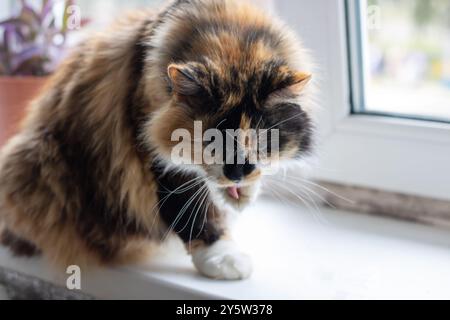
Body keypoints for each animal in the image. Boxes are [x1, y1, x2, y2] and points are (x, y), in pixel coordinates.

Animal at [0, 0, 314, 280]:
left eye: (262, 140)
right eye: (212, 141)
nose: (236, 173)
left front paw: (244, 194)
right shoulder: (158, 157)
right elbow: (192, 212)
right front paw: (223, 258)